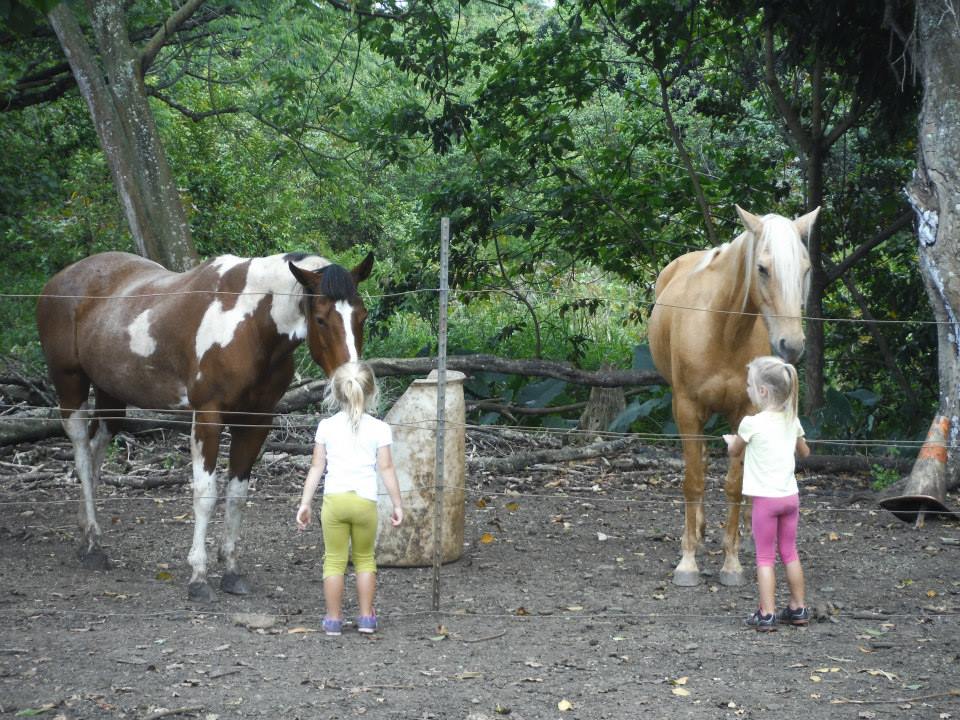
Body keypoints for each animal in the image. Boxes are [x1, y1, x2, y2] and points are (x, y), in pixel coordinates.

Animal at [36, 250, 372, 600]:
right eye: (320, 319)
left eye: (362, 316)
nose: (353, 386)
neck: (250, 325)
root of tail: (60, 280)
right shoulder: (208, 418)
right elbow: (206, 494)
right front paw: (198, 575)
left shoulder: (256, 421)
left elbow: (237, 495)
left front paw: (232, 571)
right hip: (69, 384)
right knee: (81, 455)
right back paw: (91, 545)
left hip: (110, 394)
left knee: (95, 451)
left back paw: (88, 536)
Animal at [644, 205, 816, 588]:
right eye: (762, 268)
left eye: (805, 268)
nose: (793, 345)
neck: (723, 330)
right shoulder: (687, 409)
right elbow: (694, 480)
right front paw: (688, 562)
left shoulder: (743, 413)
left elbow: (735, 486)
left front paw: (732, 563)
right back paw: (698, 531)